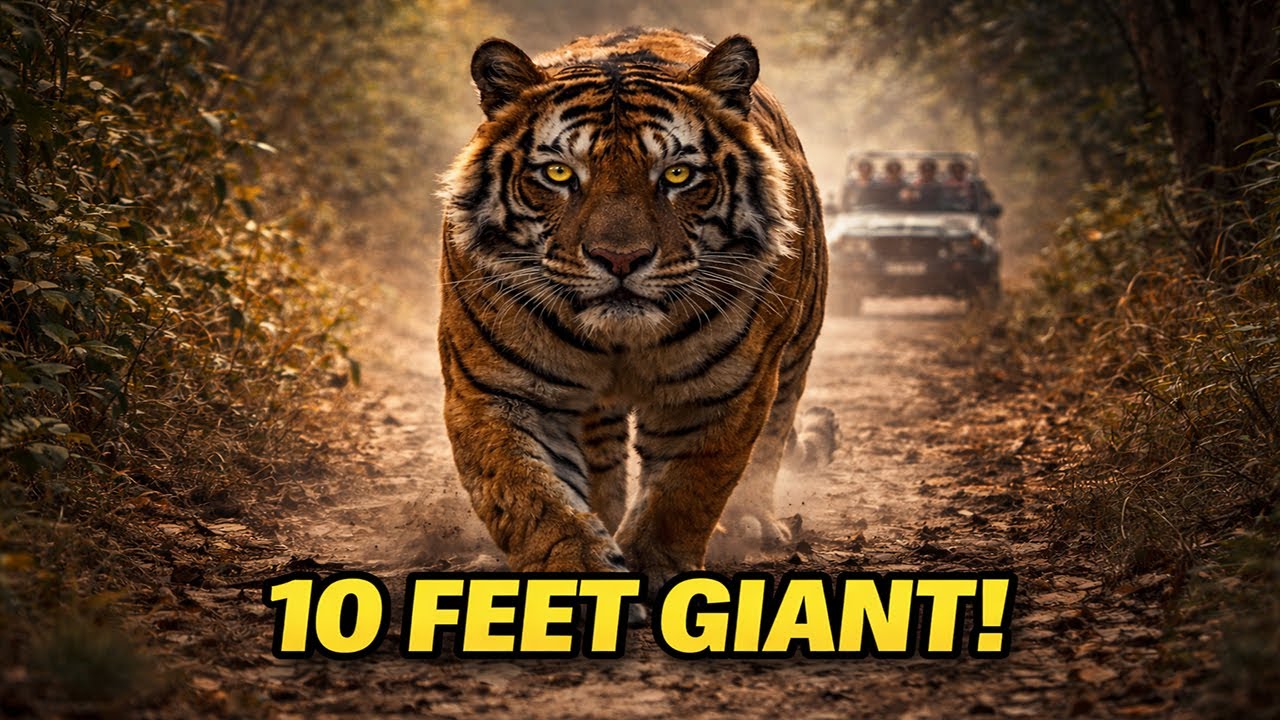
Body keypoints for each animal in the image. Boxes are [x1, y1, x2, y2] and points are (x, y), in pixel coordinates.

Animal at [437, 27, 827, 590]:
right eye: (558, 173)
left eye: (678, 174)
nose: (620, 257)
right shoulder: (497, 390)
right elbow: (536, 501)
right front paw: (577, 575)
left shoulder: (721, 390)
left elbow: (683, 494)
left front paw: (657, 569)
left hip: (792, 358)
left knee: (773, 437)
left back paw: (753, 522)